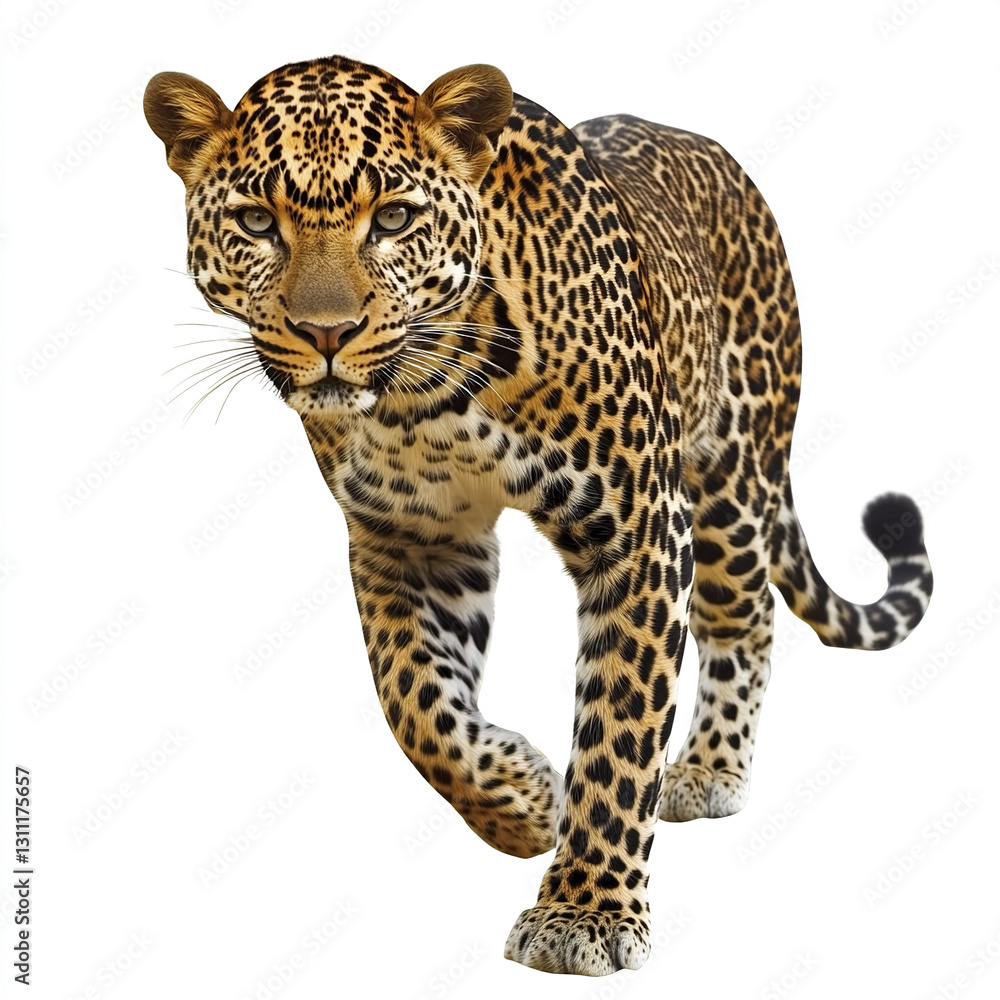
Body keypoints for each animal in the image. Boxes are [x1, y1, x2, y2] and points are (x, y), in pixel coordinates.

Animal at [144, 56, 933, 976]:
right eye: (256, 221)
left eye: (394, 218)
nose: (325, 333)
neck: (424, 397)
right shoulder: (411, 539)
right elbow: (414, 704)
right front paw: (518, 797)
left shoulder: (638, 529)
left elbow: (619, 732)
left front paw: (584, 912)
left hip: (733, 472)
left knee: (749, 614)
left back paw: (709, 768)